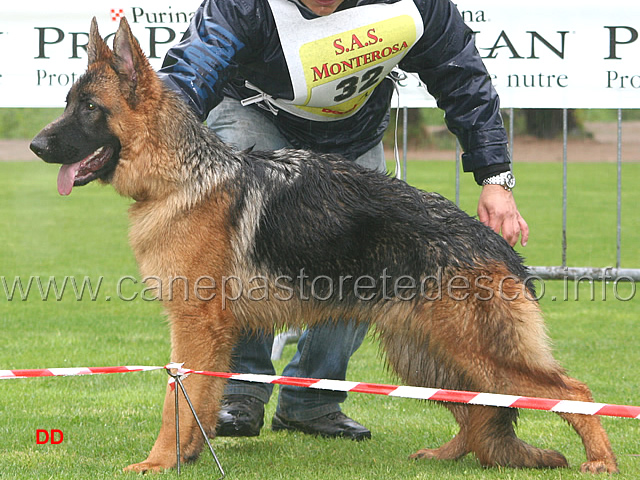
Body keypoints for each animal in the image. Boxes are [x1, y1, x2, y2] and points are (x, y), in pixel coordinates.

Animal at [31, 17, 620, 472]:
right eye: (67, 102)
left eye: (89, 108)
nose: (36, 145)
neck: (180, 177)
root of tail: (496, 245)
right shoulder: (211, 336)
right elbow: (201, 397)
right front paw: (189, 455)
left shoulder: (195, 328)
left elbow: (176, 403)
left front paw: (158, 462)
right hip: (426, 355)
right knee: (479, 409)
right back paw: (450, 454)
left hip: (474, 351)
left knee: (572, 393)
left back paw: (600, 460)